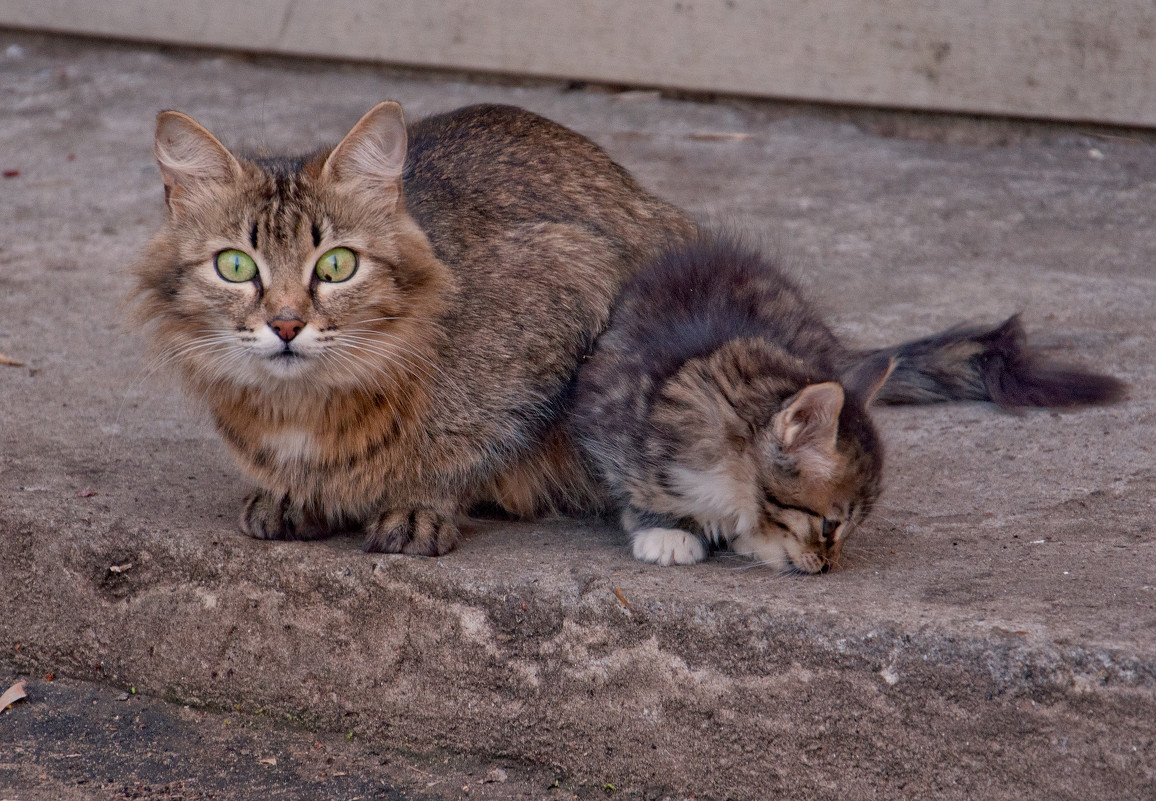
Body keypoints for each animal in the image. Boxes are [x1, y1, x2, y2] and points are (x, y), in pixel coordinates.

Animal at [132, 101, 693, 557]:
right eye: (235, 266)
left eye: (336, 266)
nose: (286, 324)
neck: (301, 406)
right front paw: (291, 493)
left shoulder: (574, 279)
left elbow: (468, 446)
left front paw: (419, 503)